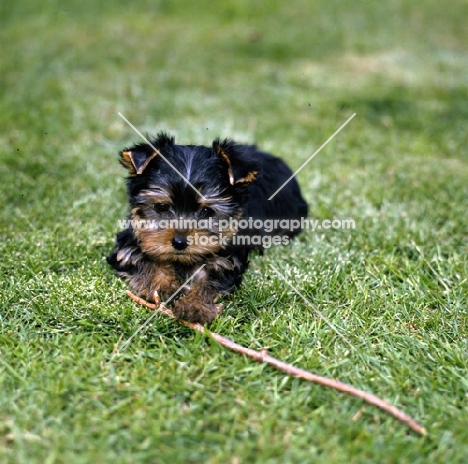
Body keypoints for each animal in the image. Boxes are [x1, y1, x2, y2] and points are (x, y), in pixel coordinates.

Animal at [108, 132, 308, 324]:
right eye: (161, 207)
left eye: (206, 211)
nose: (179, 242)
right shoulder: (129, 246)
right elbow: (145, 261)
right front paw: (166, 288)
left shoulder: (225, 259)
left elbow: (210, 281)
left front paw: (195, 305)